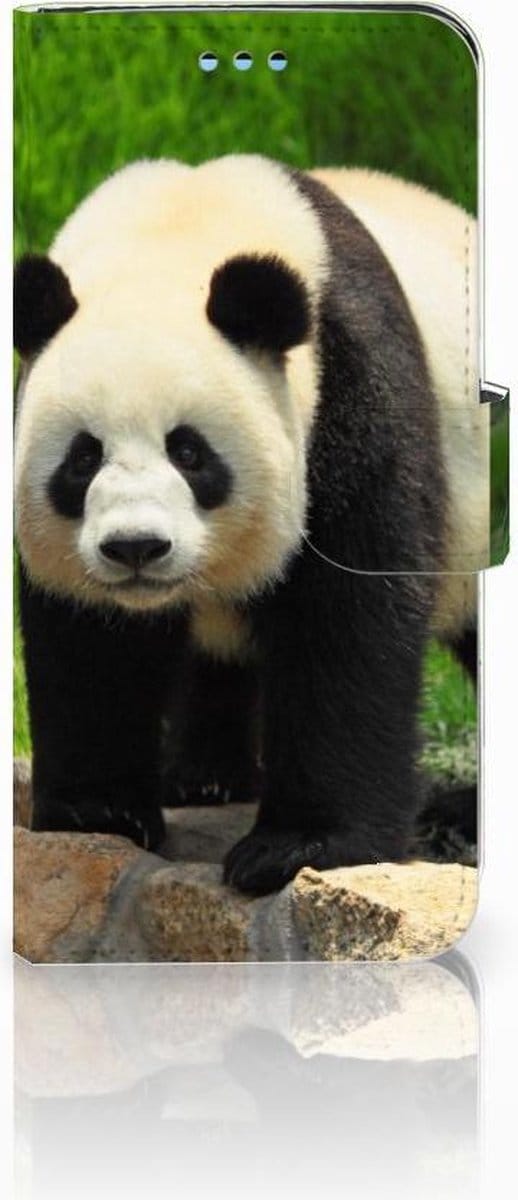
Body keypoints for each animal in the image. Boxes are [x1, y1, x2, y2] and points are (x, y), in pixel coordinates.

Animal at [14, 155, 487, 895]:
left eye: (189, 452)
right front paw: (99, 811)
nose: (136, 548)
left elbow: (348, 617)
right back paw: (204, 776)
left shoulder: (351, 388)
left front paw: (298, 846)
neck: (176, 231)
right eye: (83, 458)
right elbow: (90, 639)